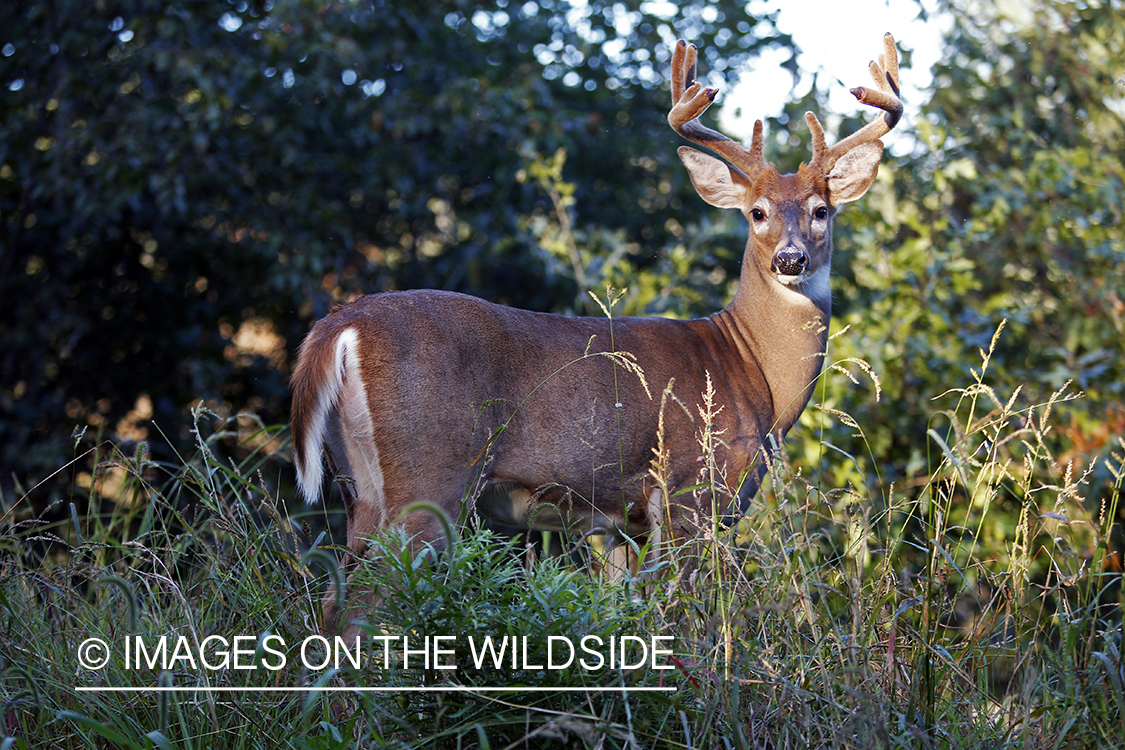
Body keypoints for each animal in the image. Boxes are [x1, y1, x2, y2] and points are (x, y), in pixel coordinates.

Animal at [292, 32, 904, 638]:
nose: (790, 258)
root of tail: (340, 326)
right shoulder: (690, 490)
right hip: (429, 471)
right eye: (756, 212)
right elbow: (682, 617)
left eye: (821, 210)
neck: (752, 371)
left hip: (359, 485)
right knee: (366, 602)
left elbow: (619, 609)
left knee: (333, 601)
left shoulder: (615, 520)